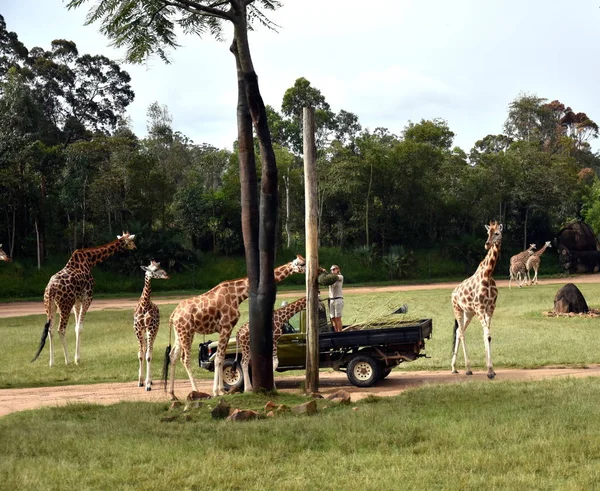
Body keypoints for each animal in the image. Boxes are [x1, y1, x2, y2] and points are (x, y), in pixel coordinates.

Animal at [32, 233, 137, 368]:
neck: (90, 261)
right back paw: (67, 360)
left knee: (50, 330)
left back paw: (52, 362)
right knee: (61, 329)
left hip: (49, 306)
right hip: (65, 305)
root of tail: (50, 288)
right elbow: (80, 328)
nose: (135, 247)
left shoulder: (77, 301)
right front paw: (77, 359)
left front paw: (77, 358)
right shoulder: (87, 298)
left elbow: (76, 327)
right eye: (131, 241)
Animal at [132, 262, 168, 392]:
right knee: (145, 350)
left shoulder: (151, 328)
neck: (145, 305)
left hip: (154, 331)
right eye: (155, 269)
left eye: (160, 266)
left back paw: (150, 380)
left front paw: (147, 384)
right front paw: (140, 381)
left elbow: (148, 356)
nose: (167, 275)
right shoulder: (138, 329)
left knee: (150, 350)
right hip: (144, 333)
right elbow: (140, 355)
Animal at [164, 254, 304, 400]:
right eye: (302, 264)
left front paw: (222, 390)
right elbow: (218, 358)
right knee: (185, 359)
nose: (311, 270)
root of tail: (173, 314)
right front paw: (216, 391)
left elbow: (220, 358)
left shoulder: (227, 328)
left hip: (179, 333)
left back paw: (172, 394)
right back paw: (196, 391)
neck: (238, 295)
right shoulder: (226, 326)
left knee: (173, 355)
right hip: (187, 332)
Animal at [452, 222, 504, 380]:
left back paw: (454, 367)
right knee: (461, 333)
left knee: (459, 331)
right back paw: (467, 369)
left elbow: (487, 335)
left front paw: (491, 370)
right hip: (458, 309)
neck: (488, 273)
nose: (487, 244)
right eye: (488, 233)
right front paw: (490, 371)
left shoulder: (490, 308)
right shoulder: (480, 307)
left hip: (469, 313)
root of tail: (453, 293)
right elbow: (487, 334)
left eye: (497, 233)